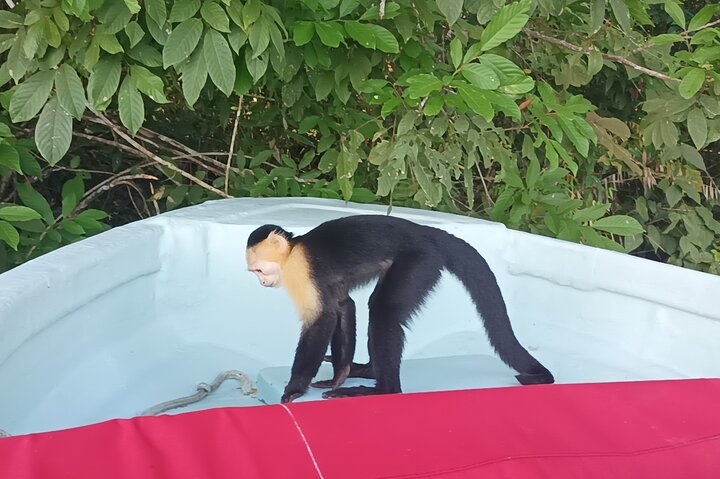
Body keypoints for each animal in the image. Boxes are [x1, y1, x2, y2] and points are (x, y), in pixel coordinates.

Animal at [246, 215, 554, 403]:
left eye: (259, 270)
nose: (261, 282)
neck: (293, 251)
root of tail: (427, 233)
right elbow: (343, 305)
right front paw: (340, 374)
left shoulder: (301, 270)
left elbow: (323, 318)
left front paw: (295, 388)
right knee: (376, 307)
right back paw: (369, 371)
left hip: (421, 261)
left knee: (384, 312)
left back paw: (383, 390)